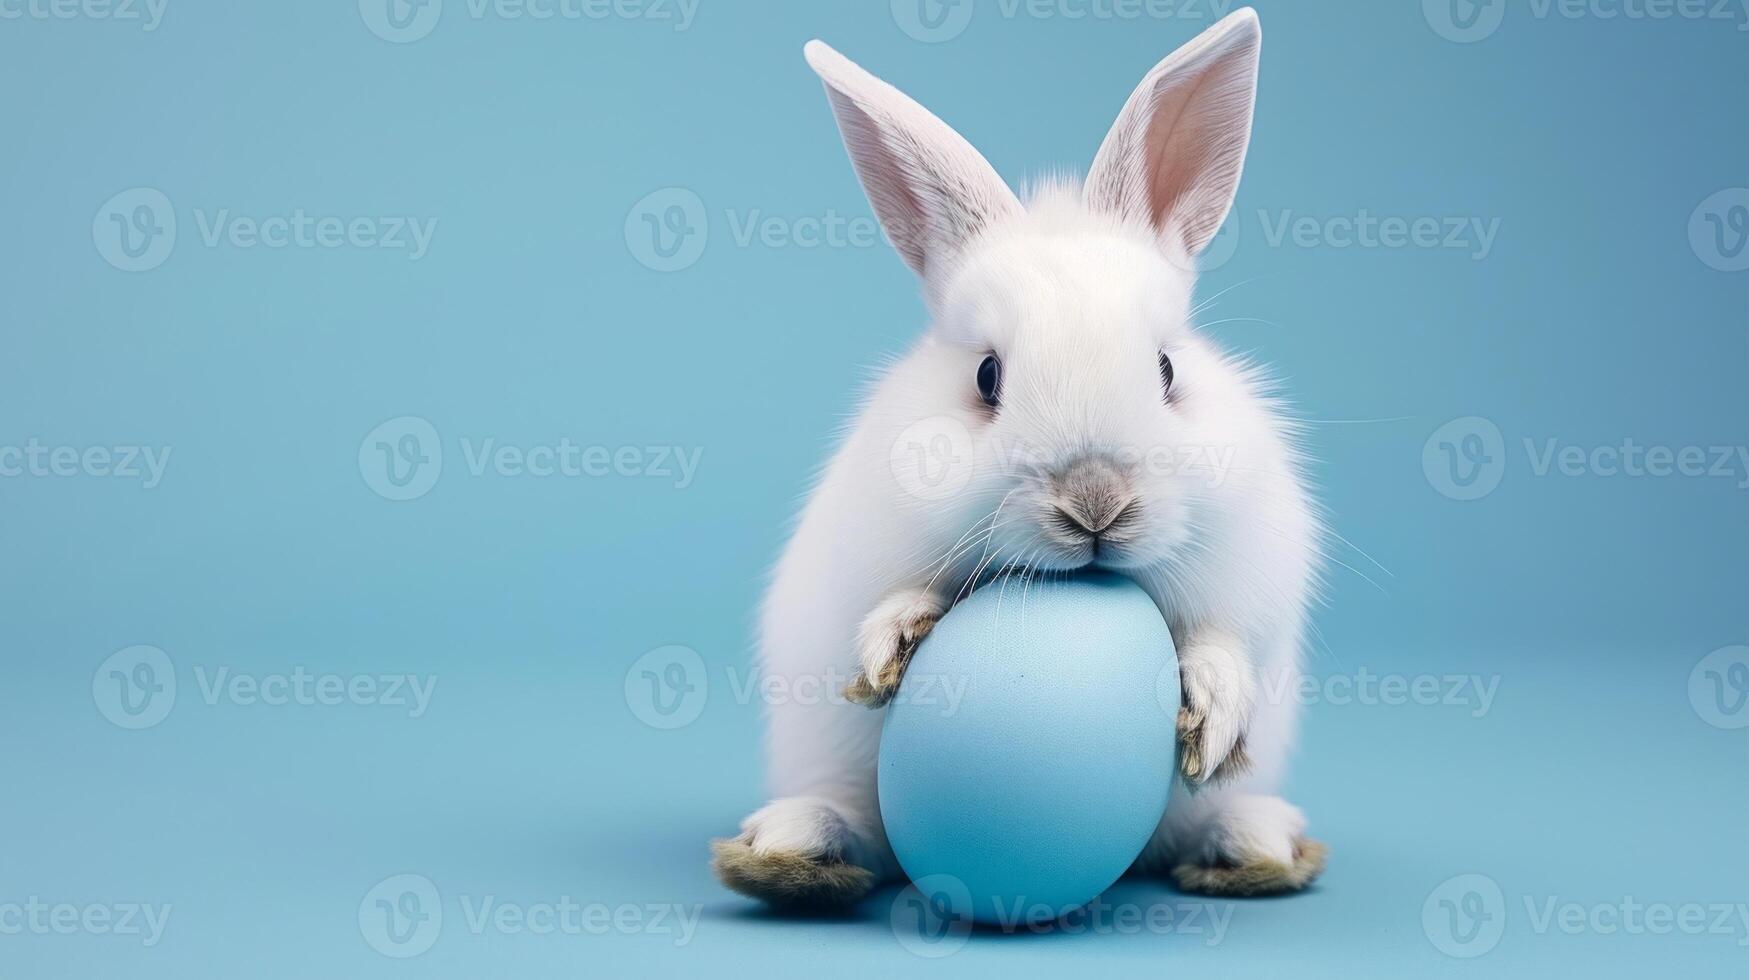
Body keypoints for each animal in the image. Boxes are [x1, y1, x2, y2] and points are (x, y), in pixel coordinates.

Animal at [710, 9, 1322, 910]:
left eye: (1166, 371)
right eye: (986, 377)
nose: (1095, 503)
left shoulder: (1251, 577)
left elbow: (1224, 642)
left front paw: (1212, 709)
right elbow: (891, 601)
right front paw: (895, 637)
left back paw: (1254, 846)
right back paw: (791, 847)